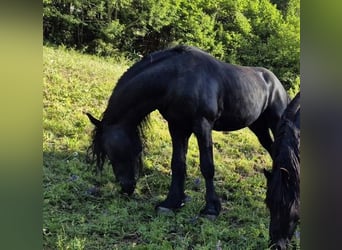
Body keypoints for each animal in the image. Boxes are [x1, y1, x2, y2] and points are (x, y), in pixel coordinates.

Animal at [86, 45, 288, 217]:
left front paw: (210, 209)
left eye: (112, 151)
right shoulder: (177, 127)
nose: (126, 188)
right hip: (258, 127)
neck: (175, 79)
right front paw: (171, 202)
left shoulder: (203, 125)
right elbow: (177, 164)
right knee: (272, 149)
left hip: (276, 122)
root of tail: (275, 82)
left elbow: (207, 166)